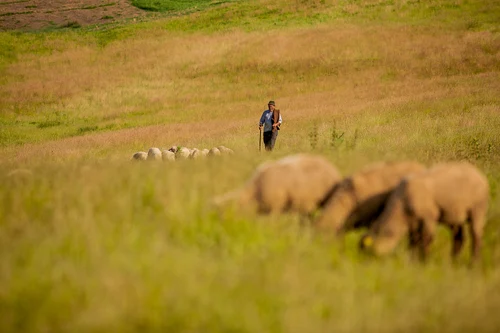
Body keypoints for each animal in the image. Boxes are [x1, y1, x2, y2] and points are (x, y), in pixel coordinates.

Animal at [360, 162, 488, 264]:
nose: (368, 263)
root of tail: (479, 175)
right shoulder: (413, 222)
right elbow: (413, 241)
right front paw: (412, 260)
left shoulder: (429, 217)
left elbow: (426, 239)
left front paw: (424, 261)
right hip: (454, 214)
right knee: (459, 238)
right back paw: (454, 261)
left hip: (478, 210)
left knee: (476, 237)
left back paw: (473, 263)